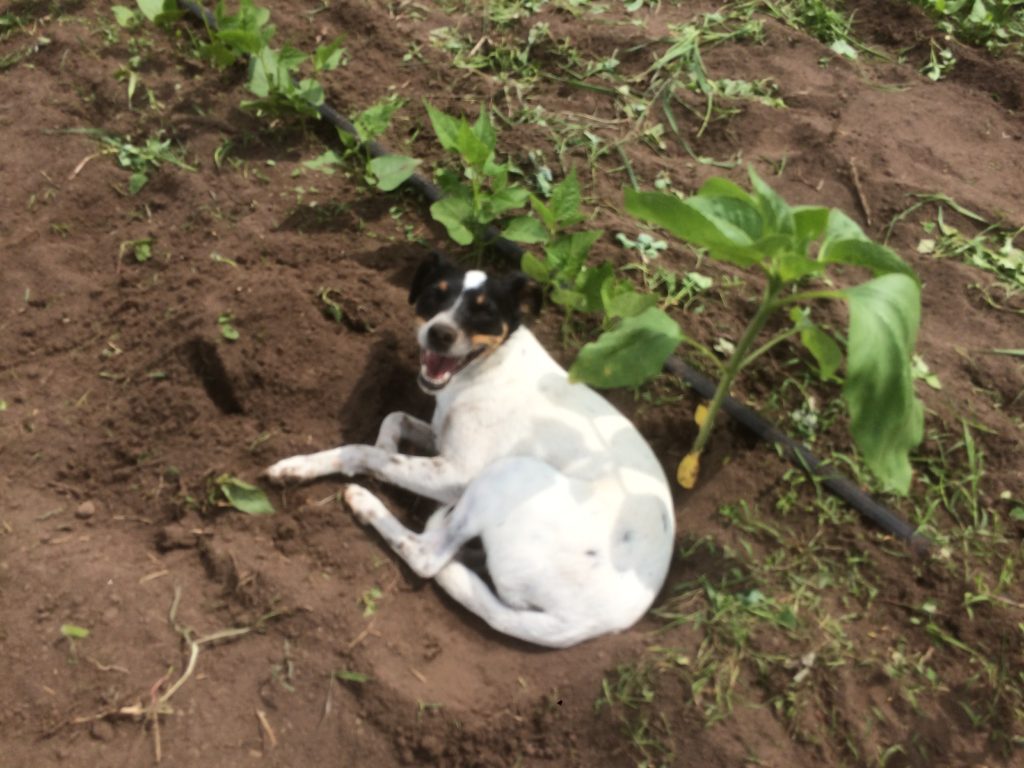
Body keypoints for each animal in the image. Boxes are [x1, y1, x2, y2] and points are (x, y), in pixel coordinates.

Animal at [268, 253, 675, 651]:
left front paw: (303, 466)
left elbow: (362, 451)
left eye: (485, 312)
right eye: (435, 295)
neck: (486, 368)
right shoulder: (439, 436)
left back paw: (366, 503)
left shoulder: (456, 474)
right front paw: (383, 452)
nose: (440, 333)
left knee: (427, 557)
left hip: (506, 476)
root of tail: (584, 625)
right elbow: (392, 420)